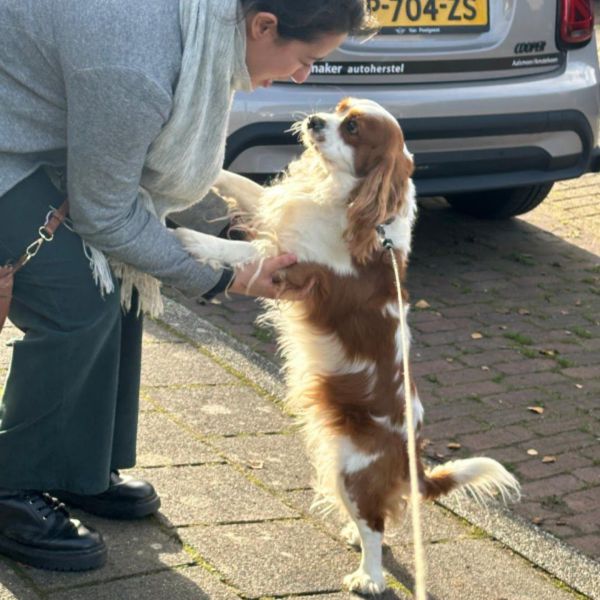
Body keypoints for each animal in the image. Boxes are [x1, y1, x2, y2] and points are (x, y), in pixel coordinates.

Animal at [177, 98, 520, 596]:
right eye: (338, 108)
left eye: (353, 128)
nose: (315, 119)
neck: (348, 201)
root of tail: (412, 456)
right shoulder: (280, 219)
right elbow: (242, 186)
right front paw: (212, 171)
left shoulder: (295, 268)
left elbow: (241, 253)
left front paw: (191, 239)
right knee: (377, 520)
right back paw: (354, 538)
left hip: (352, 470)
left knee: (376, 525)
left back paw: (369, 577)